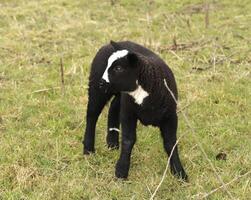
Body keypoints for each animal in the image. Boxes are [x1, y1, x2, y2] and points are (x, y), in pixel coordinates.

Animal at [83, 39, 187, 180]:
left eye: (119, 68)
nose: (102, 83)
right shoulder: (129, 113)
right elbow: (128, 140)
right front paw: (121, 172)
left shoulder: (170, 116)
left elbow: (170, 143)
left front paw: (179, 173)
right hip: (96, 88)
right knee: (92, 115)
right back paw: (88, 149)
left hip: (119, 94)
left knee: (113, 107)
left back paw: (112, 143)